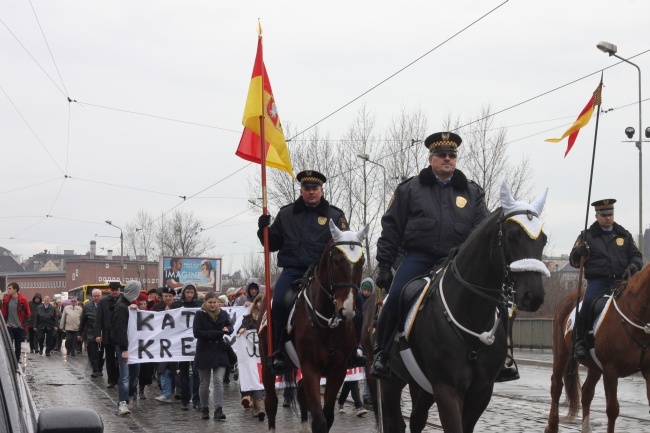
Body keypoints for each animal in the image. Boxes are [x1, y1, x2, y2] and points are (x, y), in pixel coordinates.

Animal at [260, 221, 370, 430]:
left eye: (361, 262)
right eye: (336, 261)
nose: (347, 310)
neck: (329, 323)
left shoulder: (338, 370)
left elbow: (328, 416)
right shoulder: (311, 368)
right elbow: (319, 420)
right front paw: (264, 224)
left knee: (301, 393)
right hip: (267, 363)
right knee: (271, 403)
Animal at [364, 183, 548, 432]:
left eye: (543, 240)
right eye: (512, 236)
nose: (533, 296)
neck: (470, 314)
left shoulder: (481, 392)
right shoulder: (447, 390)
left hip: (421, 386)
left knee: (416, 419)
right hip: (390, 382)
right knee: (396, 422)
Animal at [540, 264, 648, 432]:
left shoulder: (647, 370)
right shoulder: (611, 370)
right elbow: (612, 410)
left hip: (594, 366)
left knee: (586, 392)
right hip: (561, 353)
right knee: (556, 386)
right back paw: (552, 425)